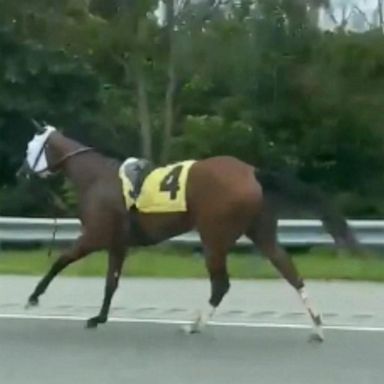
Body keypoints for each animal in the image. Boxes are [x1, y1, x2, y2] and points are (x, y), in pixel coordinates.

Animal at [17, 121, 360, 340]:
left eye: (31, 146)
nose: (21, 172)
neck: (96, 177)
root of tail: (251, 171)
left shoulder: (95, 236)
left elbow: (61, 261)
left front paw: (32, 297)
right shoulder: (118, 243)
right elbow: (110, 283)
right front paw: (98, 317)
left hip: (214, 237)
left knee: (221, 284)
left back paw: (195, 324)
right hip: (260, 232)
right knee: (290, 272)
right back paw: (317, 327)